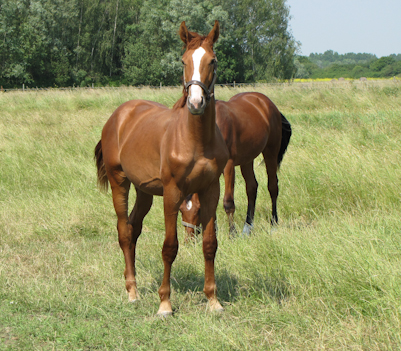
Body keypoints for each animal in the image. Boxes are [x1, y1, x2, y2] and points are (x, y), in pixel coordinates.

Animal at [93, 22, 228, 320]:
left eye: (212, 60)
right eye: (183, 61)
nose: (196, 103)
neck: (195, 140)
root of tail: (119, 115)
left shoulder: (211, 190)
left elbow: (209, 244)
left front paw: (213, 300)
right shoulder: (172, 193)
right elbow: (170, 247)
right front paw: (165, 304)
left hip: (144, 190)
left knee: (133, 229)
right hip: (120, 182)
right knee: (123, 230)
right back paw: (132, 292)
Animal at [179, 92, 290, 241]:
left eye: (198, 210)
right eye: (181, 210)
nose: (189, 240)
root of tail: (266, 102)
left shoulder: (229, 166)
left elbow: (228, 202)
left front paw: (232, 233)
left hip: (270, 152)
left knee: (273, 187)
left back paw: (273, 224)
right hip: (247, 159)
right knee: (252, 188)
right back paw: (247, 227)